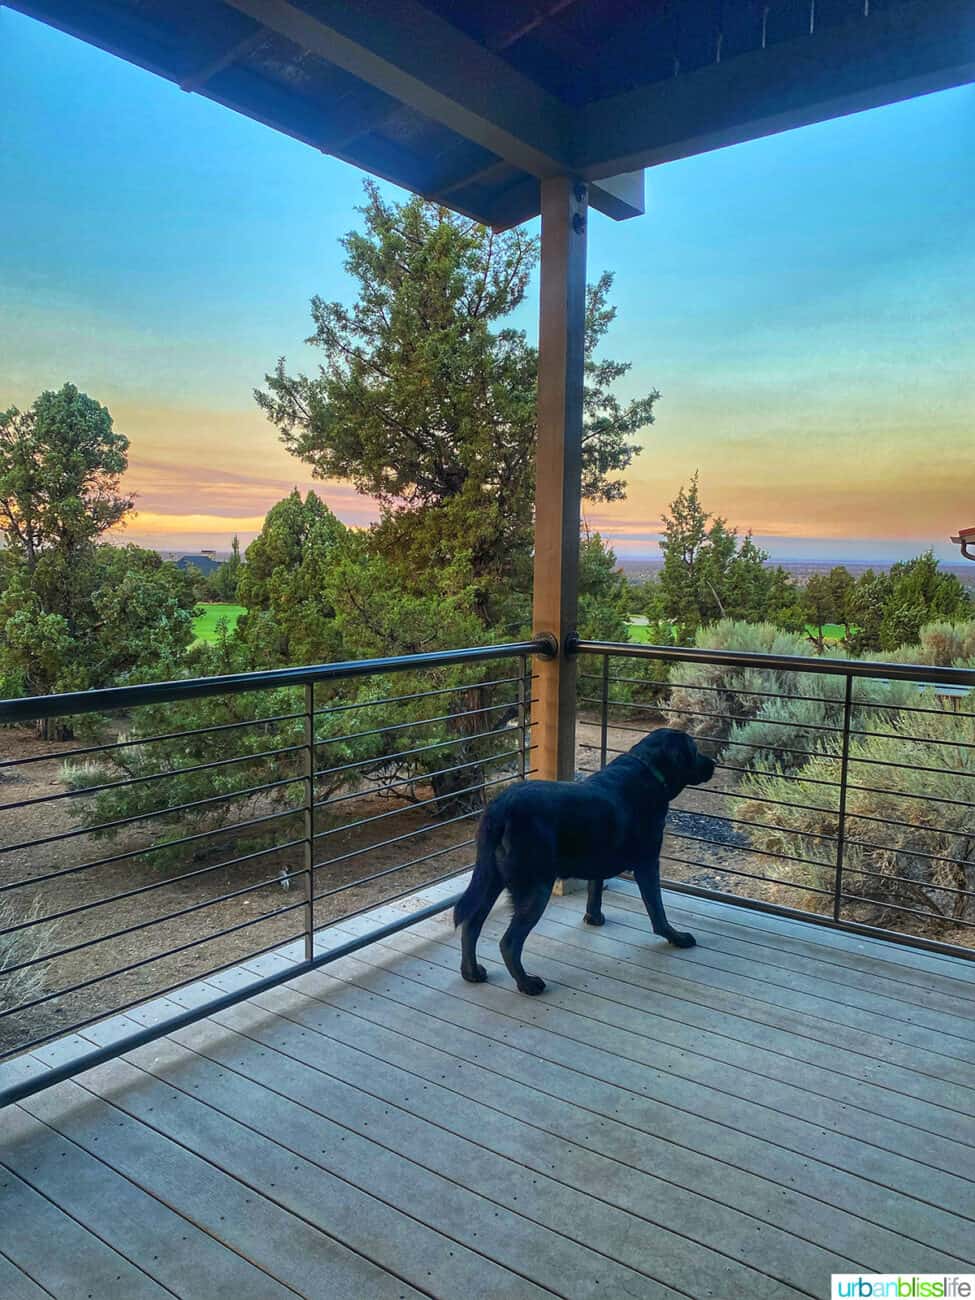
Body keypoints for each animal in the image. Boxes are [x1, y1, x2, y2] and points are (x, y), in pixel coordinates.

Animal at [452, 733, 717, 993]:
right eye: (694, 750)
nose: (713, 763)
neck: (649, 768)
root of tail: (500, 807)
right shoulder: (648, 862)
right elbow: (657, 909)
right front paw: (676, 937)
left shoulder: (599, 856)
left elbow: (595, 889)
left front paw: (594, 918)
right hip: (536, 887)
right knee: (509, 942)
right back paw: (527, 984)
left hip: (490, 878)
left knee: (470, 924)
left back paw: (471, 973)